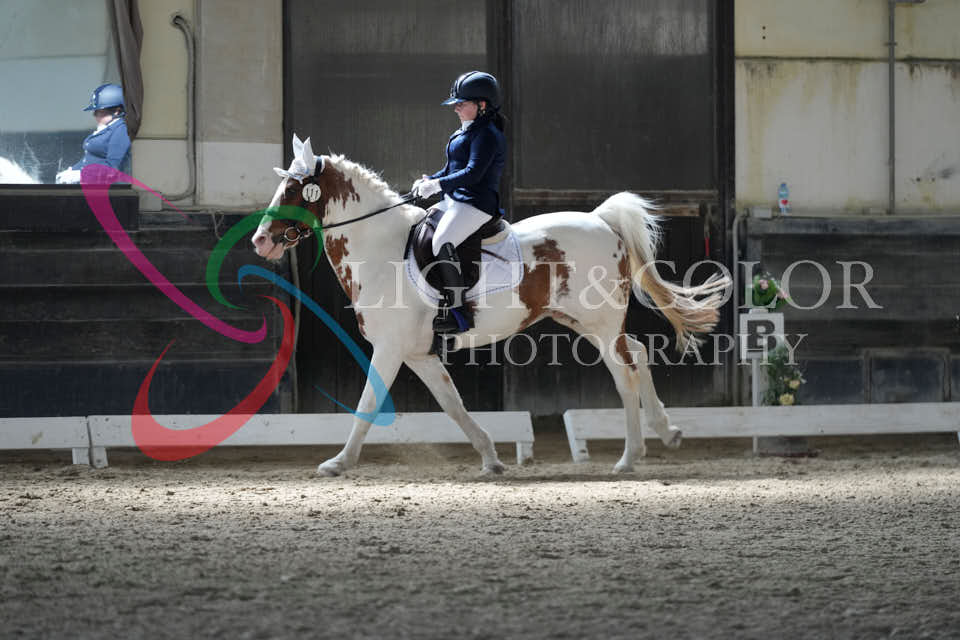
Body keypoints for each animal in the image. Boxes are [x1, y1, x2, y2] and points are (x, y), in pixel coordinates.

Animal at [252, 135, 730, 476]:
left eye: (294, 188)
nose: (260, 241)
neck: (380, 249)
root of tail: (601, 221)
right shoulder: (419, 353)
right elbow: (453, 404)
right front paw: (491, 459)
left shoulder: (389, 349)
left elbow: (369, 403)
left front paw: (337, 463)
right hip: (589, 322)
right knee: (639, 355)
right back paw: (667, 433)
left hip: (598, 322)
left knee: (625, 374)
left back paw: (629, 458)